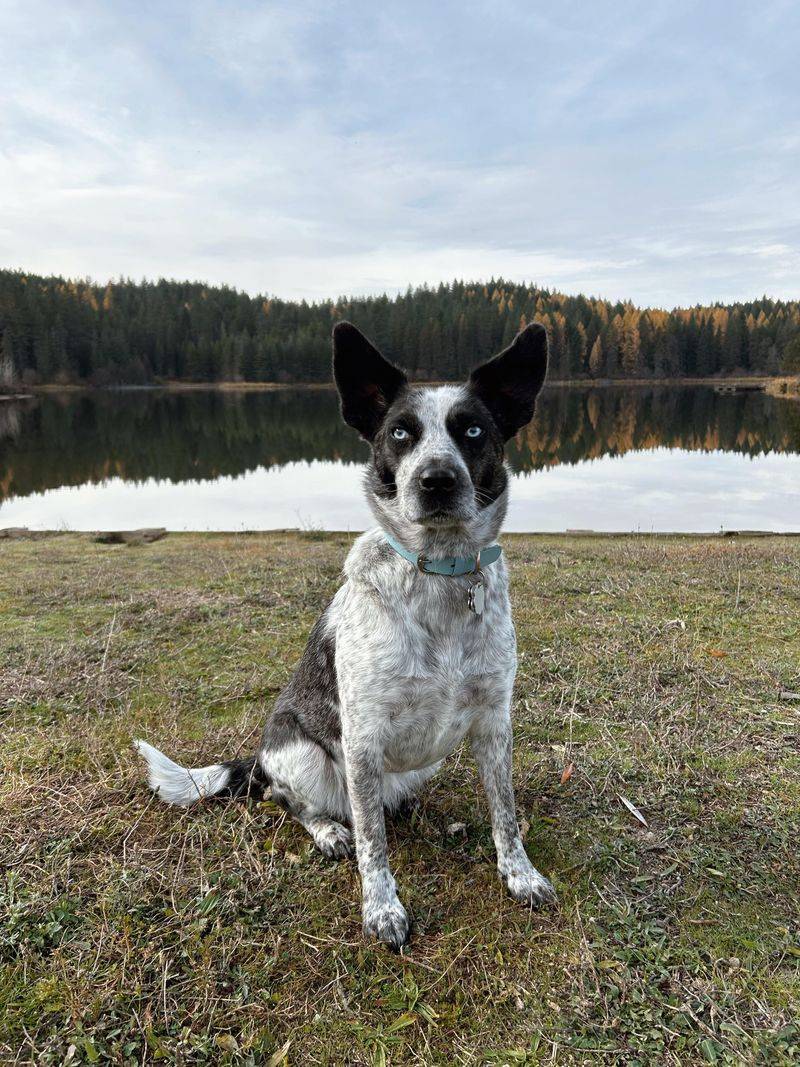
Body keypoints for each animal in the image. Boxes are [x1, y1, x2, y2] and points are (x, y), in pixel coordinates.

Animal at [133, 317, 558, 951]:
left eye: (473, 429)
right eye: (401, 433)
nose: (436, 480)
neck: (437, 576)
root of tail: (257, 758)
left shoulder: (494, 722)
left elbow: (505, 815)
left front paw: (520, 875)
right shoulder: (362, 735)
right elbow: (372, 847)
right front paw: (381, 908)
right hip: (303, 756)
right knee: (292, 800)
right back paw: (329, 831)